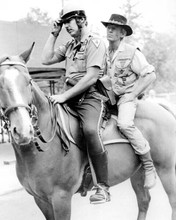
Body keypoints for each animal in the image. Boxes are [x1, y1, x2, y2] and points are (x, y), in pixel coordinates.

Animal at [0, 43, 176, 220]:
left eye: (29, 81)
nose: (23, 130)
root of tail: (162, 108)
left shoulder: (61, 198)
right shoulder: (41, 200)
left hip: (166, 169)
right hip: (137, 172)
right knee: (144, 201)